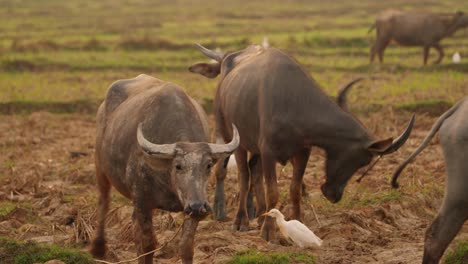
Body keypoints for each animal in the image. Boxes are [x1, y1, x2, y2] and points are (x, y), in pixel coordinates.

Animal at [90, 74, 239, 264]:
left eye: (208, 165)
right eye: (178, 166)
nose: (198, 206)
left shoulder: (189, 207)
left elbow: (185, 246)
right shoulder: (142, 201)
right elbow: (147, 244)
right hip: (100, 165)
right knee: (104, 201)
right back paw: (98, 247)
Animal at [188, 44, 414, 241]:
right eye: (363, 160)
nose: (334, 195)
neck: (296, 104)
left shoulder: (302, 151)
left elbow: (295, 189)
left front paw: (297, 223)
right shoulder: (268, 151)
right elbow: (273, 191)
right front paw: (268, 232)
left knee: (255, 173)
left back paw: (259, 215)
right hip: (231, 137)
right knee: (243, 176)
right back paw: (240, 220)